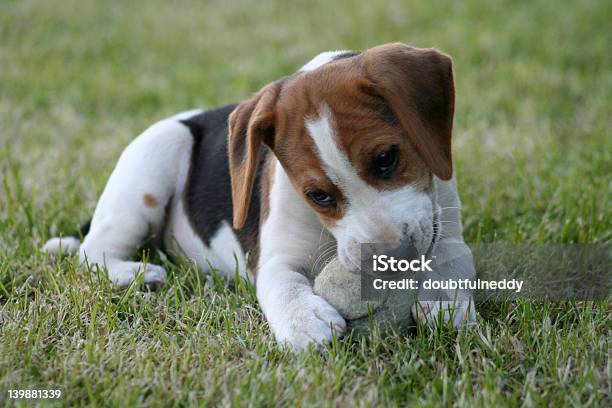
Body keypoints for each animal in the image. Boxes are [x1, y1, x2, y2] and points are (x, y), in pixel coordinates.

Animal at [46, 43, 478, 350]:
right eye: (318, 196)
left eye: (387, 158)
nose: (392, 260)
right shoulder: (276, 258)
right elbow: (283, 285)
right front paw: (304, 323)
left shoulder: (445, 227)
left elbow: (451, 260)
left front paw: (445, 300)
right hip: (153, 161)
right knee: (92, 252)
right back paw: (137, 274)